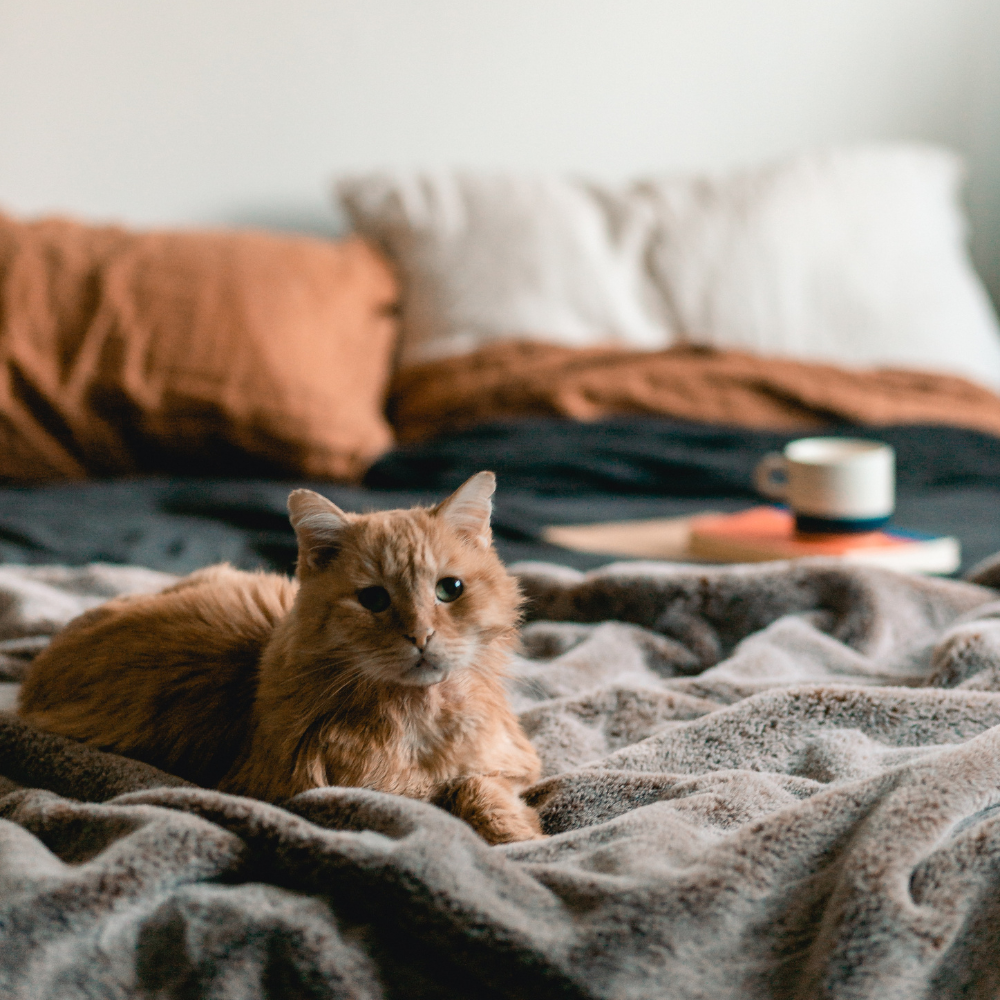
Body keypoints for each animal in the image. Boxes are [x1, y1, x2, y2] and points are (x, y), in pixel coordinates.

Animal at [19, 472, 544, 840]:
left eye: (449, 590)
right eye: (374, 600)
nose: (420, 635)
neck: (418, 721)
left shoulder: (509, 763)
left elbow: (480, 786)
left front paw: (513, 832)